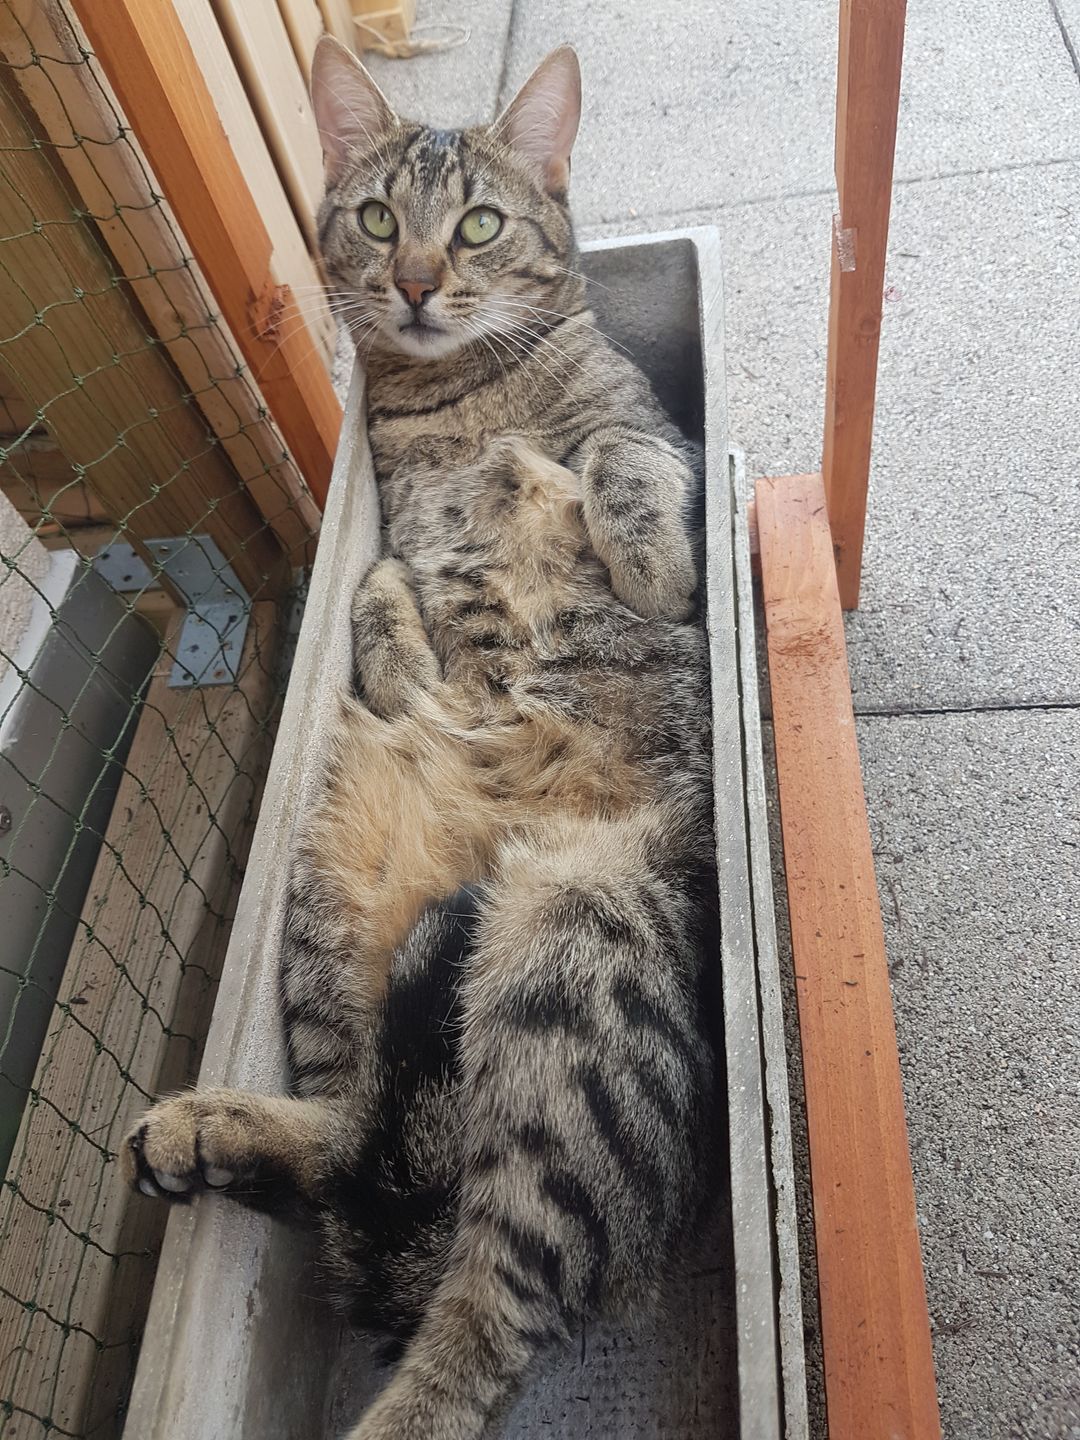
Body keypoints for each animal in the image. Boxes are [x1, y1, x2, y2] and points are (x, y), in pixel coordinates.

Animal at [124, 38, 721, 1440]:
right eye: (382, 220)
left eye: (480, 225)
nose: (412, 285)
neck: (463, 395)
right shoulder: (402, 533)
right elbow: (388, 587)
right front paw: (404, 651)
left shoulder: (662, 433)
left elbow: (621, 459)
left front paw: (649, 563)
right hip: (334, 898)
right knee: (362, 1154)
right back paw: (215, 1130)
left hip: (580, 961)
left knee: (490, 1317)